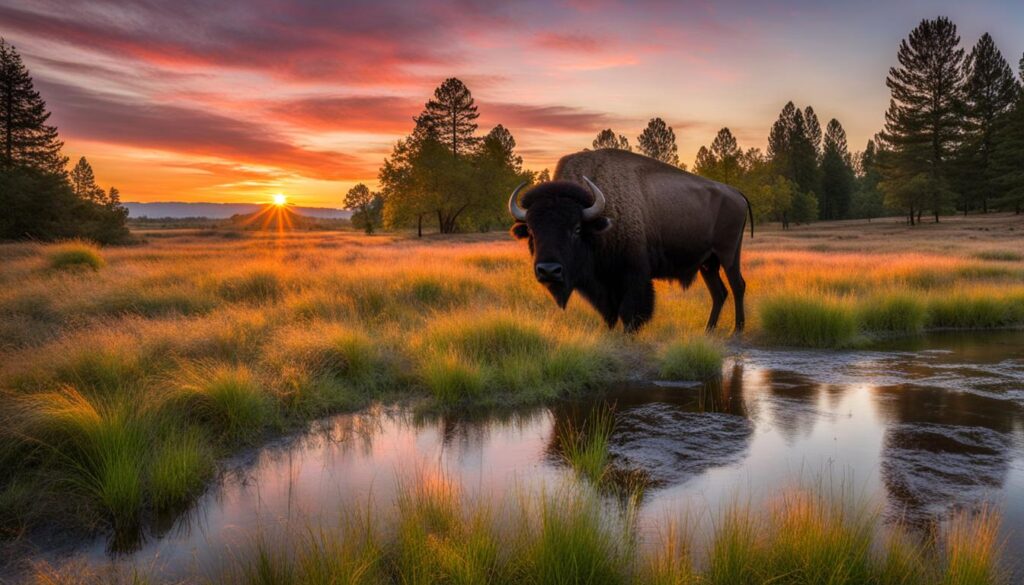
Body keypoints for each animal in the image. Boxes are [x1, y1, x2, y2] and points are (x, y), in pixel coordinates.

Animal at [509, 149, 752, 333]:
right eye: (531, 231)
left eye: (576, 229)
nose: (549, 271)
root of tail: (736, 192)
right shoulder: (605, 282)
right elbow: (610, 312)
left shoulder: (634, 275)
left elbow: (631, 310)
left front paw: (629, 333)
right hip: (708, 263)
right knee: (719, 293)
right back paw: (708, 330)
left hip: (728, 255)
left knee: (737, 286)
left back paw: (737, 330)